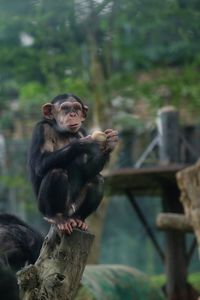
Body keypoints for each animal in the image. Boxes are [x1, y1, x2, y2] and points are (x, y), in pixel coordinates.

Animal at [28, 92, 119, 233]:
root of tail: (69, 215)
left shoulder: (82, 131)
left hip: (74, 207)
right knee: (56, 172)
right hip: (45, 208)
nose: (73, 114)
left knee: (97, 179)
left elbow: (87, 171)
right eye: (65, 108)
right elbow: (40, 162)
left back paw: (79, 219)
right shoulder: (41, 130)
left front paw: (110, 142)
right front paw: (85, 143)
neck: (64, 132)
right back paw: (57, 217)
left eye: (76, 108)